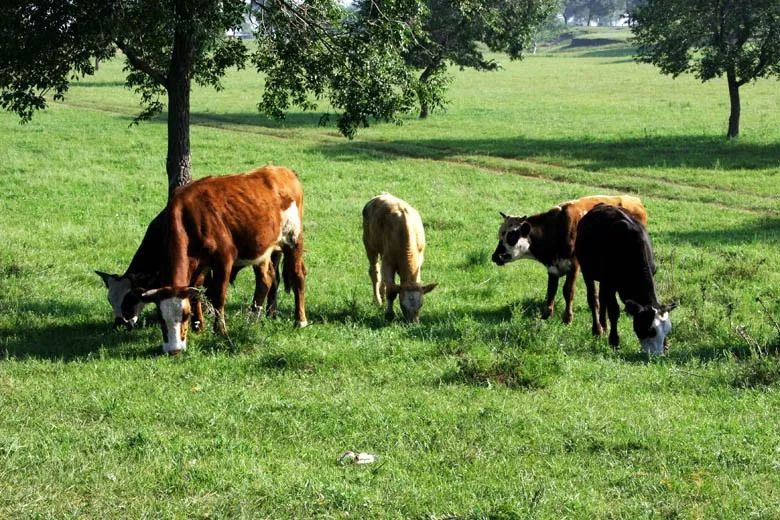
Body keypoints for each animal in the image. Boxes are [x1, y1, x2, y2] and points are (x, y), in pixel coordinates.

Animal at [137, 167, 308, 354]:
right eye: (161, 319)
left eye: (185, 315)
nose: (174, 350)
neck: (191, 218)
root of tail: (284, 170)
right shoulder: (200, 266)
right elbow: (197, 292)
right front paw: (199, 327)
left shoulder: (224, 259)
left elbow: (217, 296)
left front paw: (220, 331)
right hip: (262, 248)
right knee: (266, 279)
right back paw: (252, 320)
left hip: (293, 239)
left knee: (297, 275)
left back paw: (300, 320)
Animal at [362, 193, 436, 322]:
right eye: (403, 305)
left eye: (421, 304)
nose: (414, 323)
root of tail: (382, 194)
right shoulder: (388, 261)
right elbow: (391, 291)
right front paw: (389, 314)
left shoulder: (419, 260)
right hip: (369, 244)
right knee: (375, 272)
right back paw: (378, 300)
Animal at [490, 195, 648, 324]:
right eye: (500, 235)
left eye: (511, 236)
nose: (495, 256)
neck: (556, 228)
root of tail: (636, 201)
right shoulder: (553, 267)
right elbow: (551, 291)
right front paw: (546, 316)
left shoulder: (574, 266)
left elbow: (568, 291)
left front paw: (567, 318)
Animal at [572, 203, 676, 354]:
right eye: (650, 330)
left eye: (667, 330)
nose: (658, 355)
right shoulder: (609, 281)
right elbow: (614, 311)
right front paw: (614, 342)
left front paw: (666, 345)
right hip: (588, 271)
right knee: (593, 299)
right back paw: (597, 330)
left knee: (602, 299)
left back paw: (604, 326)